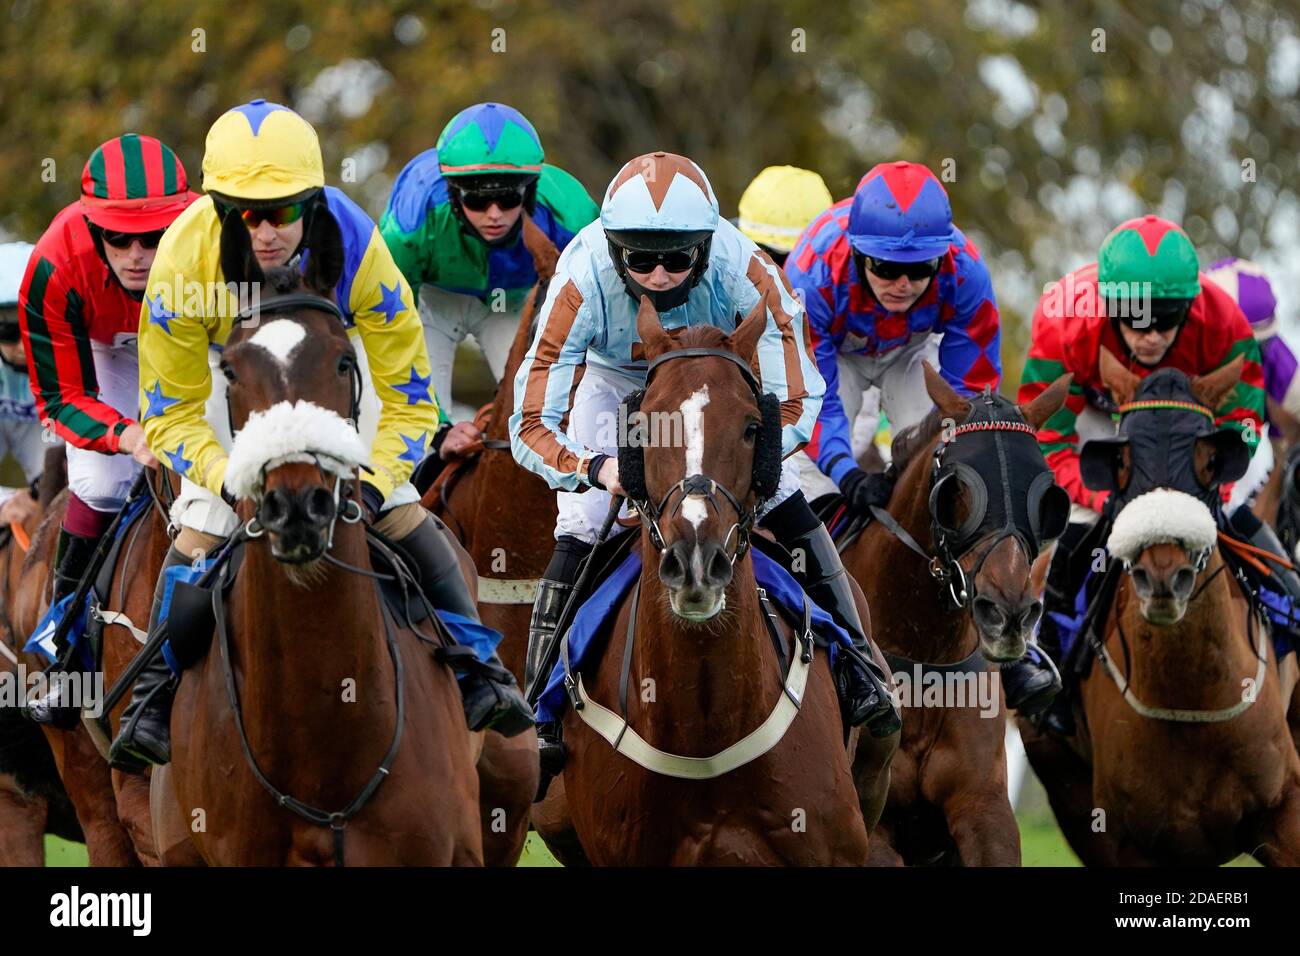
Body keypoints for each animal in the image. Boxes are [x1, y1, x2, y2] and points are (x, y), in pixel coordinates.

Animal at [837, 366, 1071, 868]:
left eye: (1046, 494)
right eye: (955, 489)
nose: (1008, 613)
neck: (924, 652)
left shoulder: (984, 807)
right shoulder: (873, 827)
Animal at [1019, 351, 1300, 868]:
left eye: (1210, 460)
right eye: (1122, 460)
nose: (1164, 576)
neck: (1191, 696)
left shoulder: (1282, 809)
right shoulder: (1130, 840)